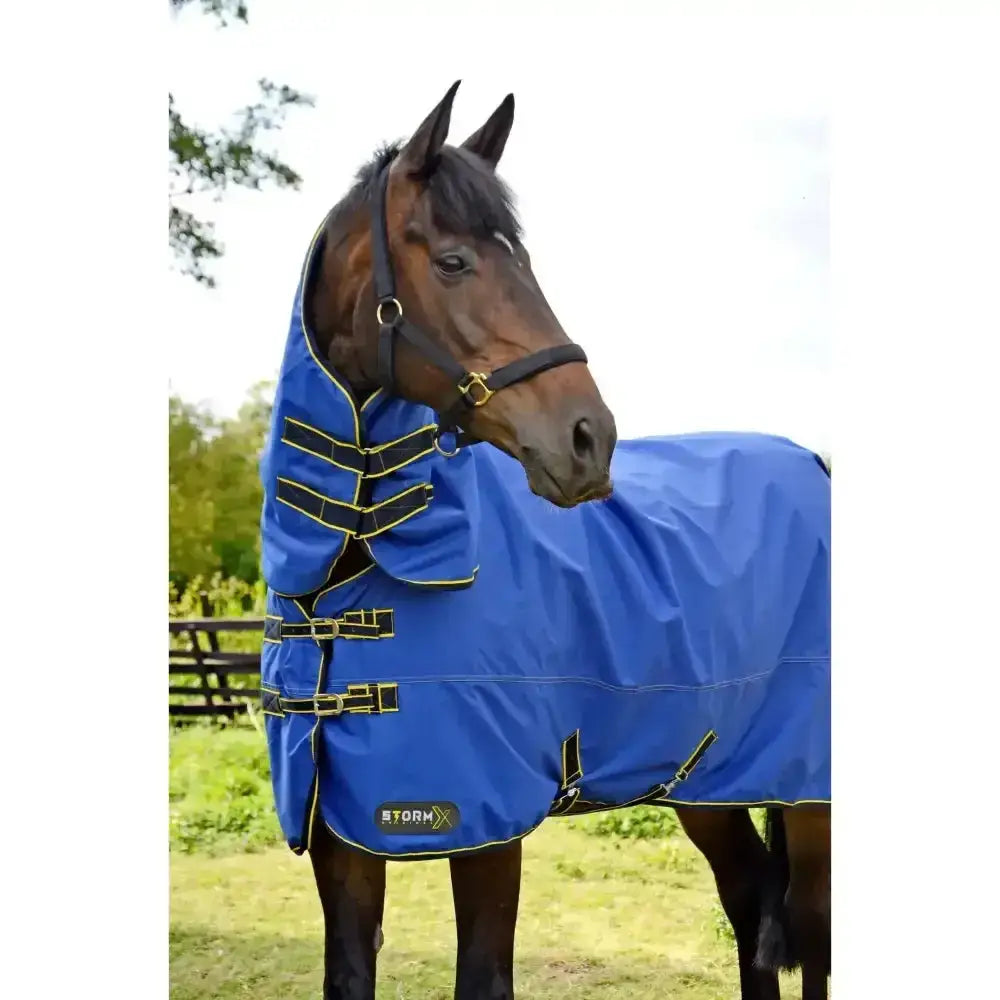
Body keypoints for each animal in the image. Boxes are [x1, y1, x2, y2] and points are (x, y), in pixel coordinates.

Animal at [257, 81, 831, 1000]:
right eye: (454, 262)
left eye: (524, 261)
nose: (588, 439)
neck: (352, 572)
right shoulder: (341, 838)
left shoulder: (488, 831)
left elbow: (484, 978)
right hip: (708, 774)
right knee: (751, 902)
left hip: (810, 788)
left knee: (811, 927)